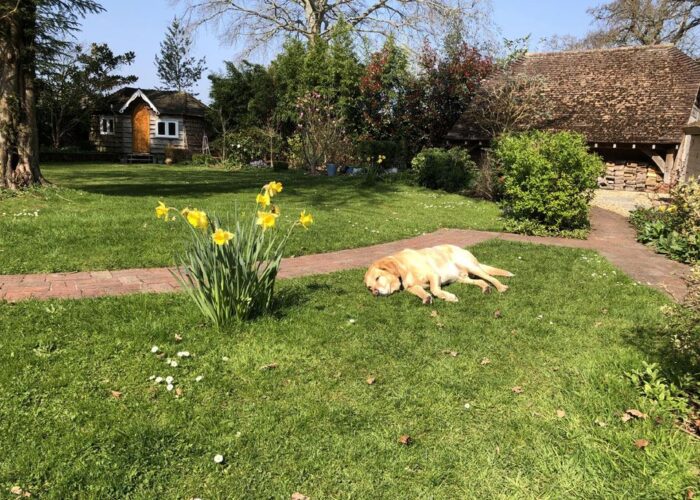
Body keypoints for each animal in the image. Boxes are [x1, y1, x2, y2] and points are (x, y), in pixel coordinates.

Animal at [366, 243, 516, 302]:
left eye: (378, 278)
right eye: (369, 288)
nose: (375, 293)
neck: (403, 269)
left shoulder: (433, 275)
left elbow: (434, 289)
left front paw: (448, 296)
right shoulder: (412, 287)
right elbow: (420, 291)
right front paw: (426, 297)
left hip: (472, 267)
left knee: (489, 277)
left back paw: (501, 287)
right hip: (462, 278)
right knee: (480, 281)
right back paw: (486, 288)